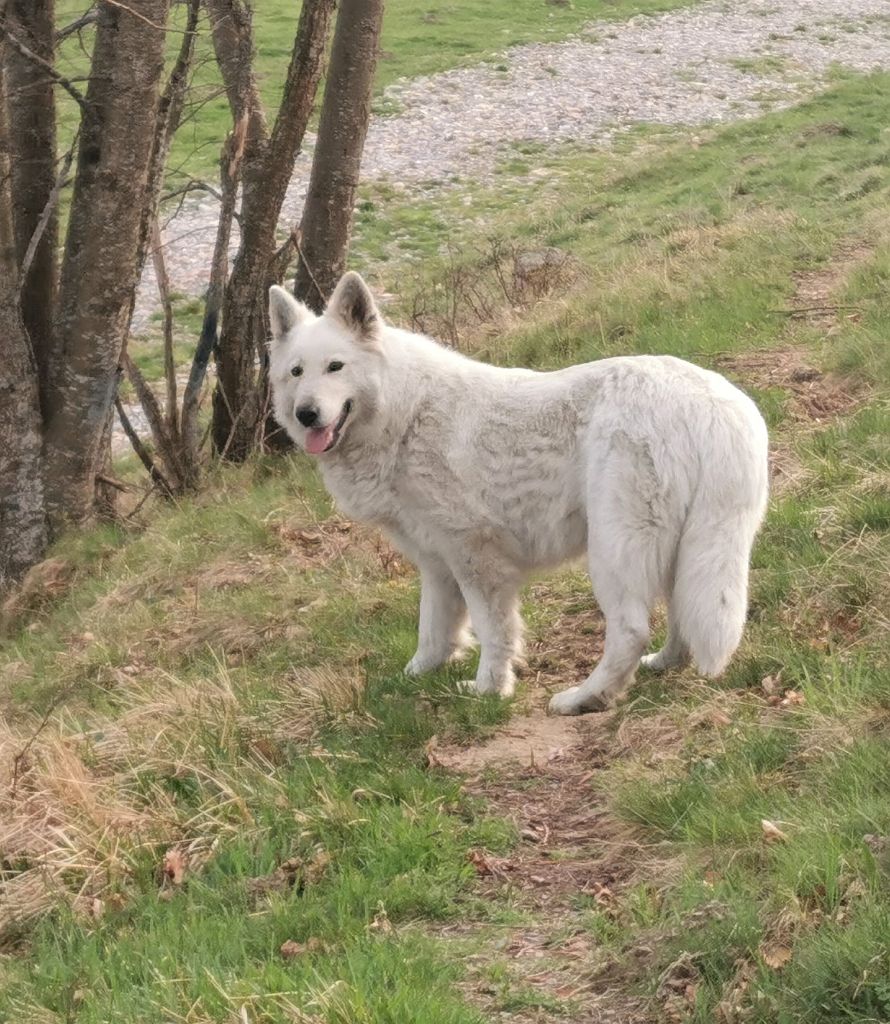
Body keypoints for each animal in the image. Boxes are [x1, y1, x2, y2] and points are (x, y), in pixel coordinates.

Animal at [268, 276, 766, 716]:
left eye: (335, 367)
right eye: (296, 372)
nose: (306, 414)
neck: (402, 413)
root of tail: (711, 406)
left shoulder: (476, 558)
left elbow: (493, 633)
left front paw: (489, 689)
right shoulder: (437, 562)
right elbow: (434, 628)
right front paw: (414, 677)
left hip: (613, 550)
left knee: (629, 630)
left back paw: (585, 698)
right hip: (682, 548)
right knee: (680, 610)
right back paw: (665, 663)